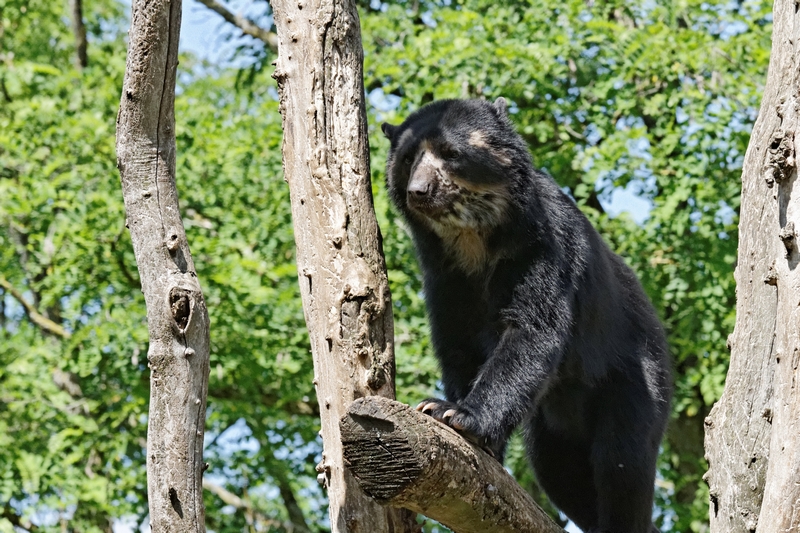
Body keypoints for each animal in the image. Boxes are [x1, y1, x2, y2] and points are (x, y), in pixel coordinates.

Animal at [382, 98, 676, 532]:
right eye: (406, 159)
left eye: (451, 153)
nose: (419, 191)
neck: (473, 242)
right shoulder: (445, 277)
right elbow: (459, 346)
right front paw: (466, 427)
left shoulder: (540, 244)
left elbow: (532, 329)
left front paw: (455, 413)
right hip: (551, 423)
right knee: (558, 473)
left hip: (634, 377)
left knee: (622, 461)